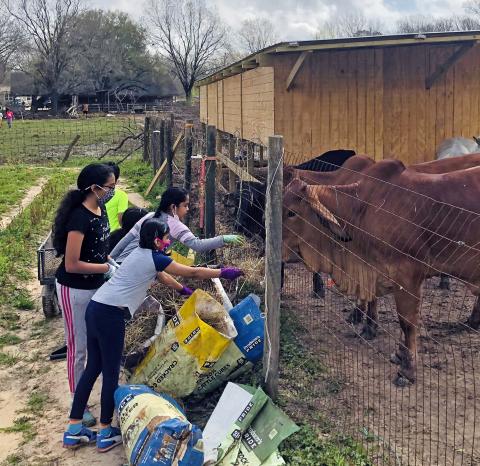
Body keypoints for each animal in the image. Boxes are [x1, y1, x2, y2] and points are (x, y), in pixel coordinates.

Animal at [284, 161, 480, 386]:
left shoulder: (407, 276)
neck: (364, 209)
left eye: (291, 212)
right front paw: (395, 351)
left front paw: (407, 369)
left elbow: (407, 322)